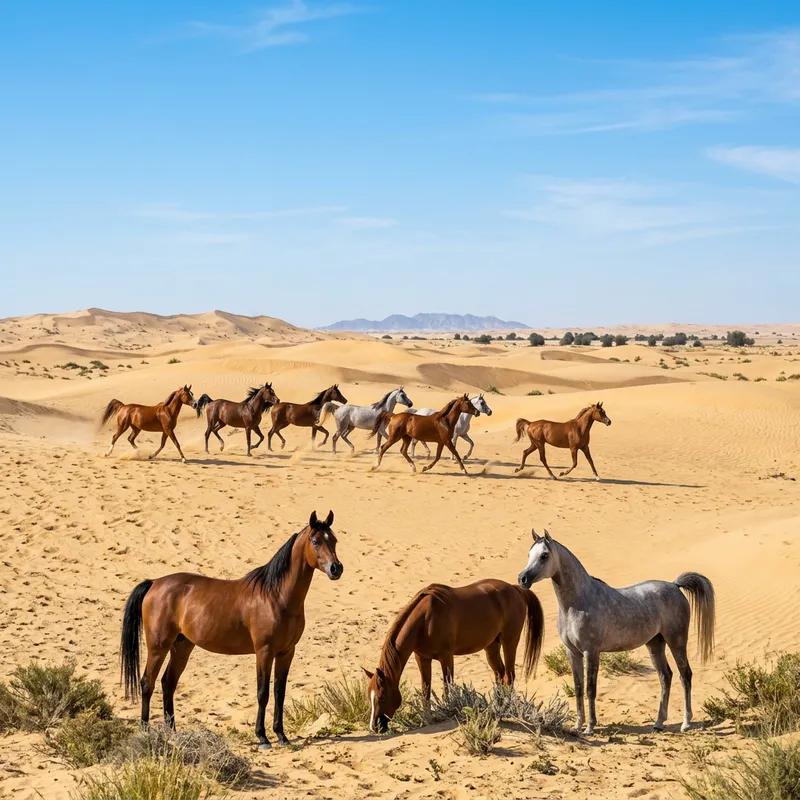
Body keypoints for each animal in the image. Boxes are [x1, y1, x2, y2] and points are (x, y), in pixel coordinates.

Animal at [120, 511, 343, 750]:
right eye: (315, 541)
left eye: (334, 540)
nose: (336, 569)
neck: (276, 596)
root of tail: (154, 583)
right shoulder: (264, 651)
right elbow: (263, 693)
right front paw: (262, 737)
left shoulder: (286, 652)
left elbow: (279, 693)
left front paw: (281, 735)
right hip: (158, 646)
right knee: (147, 683)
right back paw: (146, 733)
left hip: (182, 646)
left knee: (168, 683)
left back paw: (173, 733)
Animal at [363, 580, 544, 733]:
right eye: (369, 696)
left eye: (381, 696)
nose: (375, 727)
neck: (426, 620)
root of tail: (515, 588)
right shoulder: (422, 658)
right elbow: (425, 691)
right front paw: (427, 720)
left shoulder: (446, 657)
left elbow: (447, 688)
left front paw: (448, 712)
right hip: (492, 646)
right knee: (500, 674)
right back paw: (496, 707)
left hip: (509, 642)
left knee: (509, 675)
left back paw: (505, 709)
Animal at [517, 529, 715, 735]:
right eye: (529, 554)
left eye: (544, 555)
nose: (522, 579)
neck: (577, 602)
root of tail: (675, 586)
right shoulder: (572, 653)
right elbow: (578, 688)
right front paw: (577, 725)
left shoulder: (591, 652)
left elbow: (590, 689)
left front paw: (590, 727)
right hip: (655, 644)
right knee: (665, 676)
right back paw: (659, 722)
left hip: (676, 641)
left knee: (685, 675)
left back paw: (686, 723)